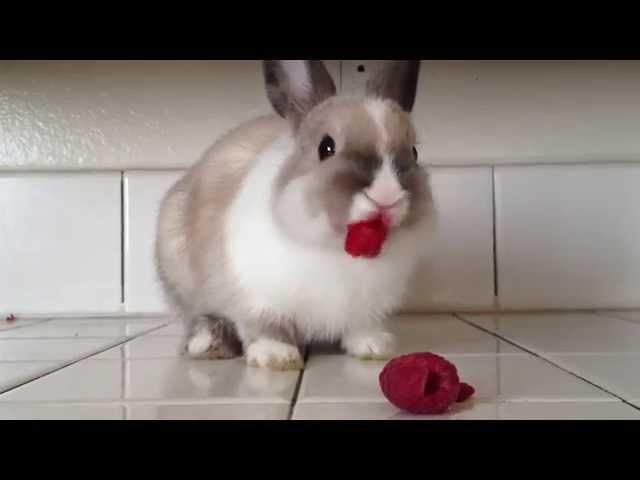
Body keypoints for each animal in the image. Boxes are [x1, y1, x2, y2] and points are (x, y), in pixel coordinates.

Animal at [155, 60, 436, 372]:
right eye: (326, 147)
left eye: (413, 152)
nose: (387, 195)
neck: (335, 250)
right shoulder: (256, 297)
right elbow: (266, 326)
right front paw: (277, 355)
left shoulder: (367, 307)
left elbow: (361, 326)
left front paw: (374, 347)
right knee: (198, 317)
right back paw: (208, 344)